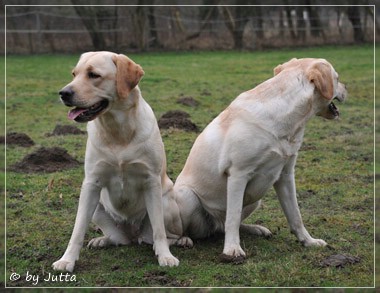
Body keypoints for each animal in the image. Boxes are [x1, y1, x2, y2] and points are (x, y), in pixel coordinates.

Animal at [52, 50, 183, 272]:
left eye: (93, 75)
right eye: (74, 74)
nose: (63, 93)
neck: (118, 131)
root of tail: (133, 233)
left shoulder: (151, 181)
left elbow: (159, 230)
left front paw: (165, 256)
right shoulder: (91, 184)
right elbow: (77, 229)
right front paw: (67, 260)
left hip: (165, 203)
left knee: (160, 236)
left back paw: (182, 241)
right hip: (97, 208)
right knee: (120, 239)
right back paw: (102, 240)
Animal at [168, 58, 348, 258]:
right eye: (337, 78)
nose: (346, 88)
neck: (285, 116)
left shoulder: (285, 175)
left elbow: (295, 216)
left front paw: (308, 241)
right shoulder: (238, 174)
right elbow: (233, 216)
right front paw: (232, 249)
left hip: (255, 200)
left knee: (226, 226)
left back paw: (256, 229)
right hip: (187, 196)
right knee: (188, 229)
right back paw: (183, 240)